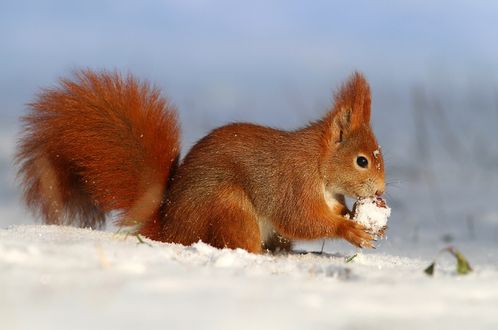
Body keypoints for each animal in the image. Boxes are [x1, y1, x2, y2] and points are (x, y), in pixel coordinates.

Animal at [14, 70, 382, 253]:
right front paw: (350, 229)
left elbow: (330, 211)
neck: (319, 166)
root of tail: (171, 229)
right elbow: (301, 219)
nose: (380, 190)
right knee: (240, 244)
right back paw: (263, 254)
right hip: (228, 208)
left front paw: (355, 215)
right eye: (362, 160)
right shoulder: (293, 183)